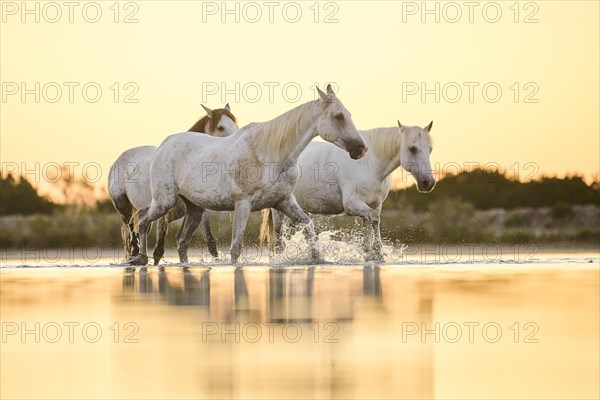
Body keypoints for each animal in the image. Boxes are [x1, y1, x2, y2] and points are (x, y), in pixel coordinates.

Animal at [108, 104, 239, 264]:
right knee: (134, 236)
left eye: (235, 124)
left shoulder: (198, 209)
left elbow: (210, 242)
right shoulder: (163, 214)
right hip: (125, 210)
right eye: (220, 127)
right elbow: (158, 250)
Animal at [127, 85, 366, 266]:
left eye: (349, 114)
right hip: (164, 202)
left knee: (181, 242)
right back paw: (140, 258)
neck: (270, 154)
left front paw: (317, 259)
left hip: (194, 210)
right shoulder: (243, 204)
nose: (361, 149)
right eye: (338, 116)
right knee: (143, 221)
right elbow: (236, 248)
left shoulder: (283, 201)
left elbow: (308, 227)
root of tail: (164, 145)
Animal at [260, 120, 434, 260]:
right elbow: (375, 219)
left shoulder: (373, 205)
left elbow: (371, 226)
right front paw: (378, 253)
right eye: (412, 148)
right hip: (280, 210)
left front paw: (371, 255)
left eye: (430, 149)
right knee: (280, 239)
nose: (428, 183)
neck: (370, 164)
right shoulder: (352, 204)